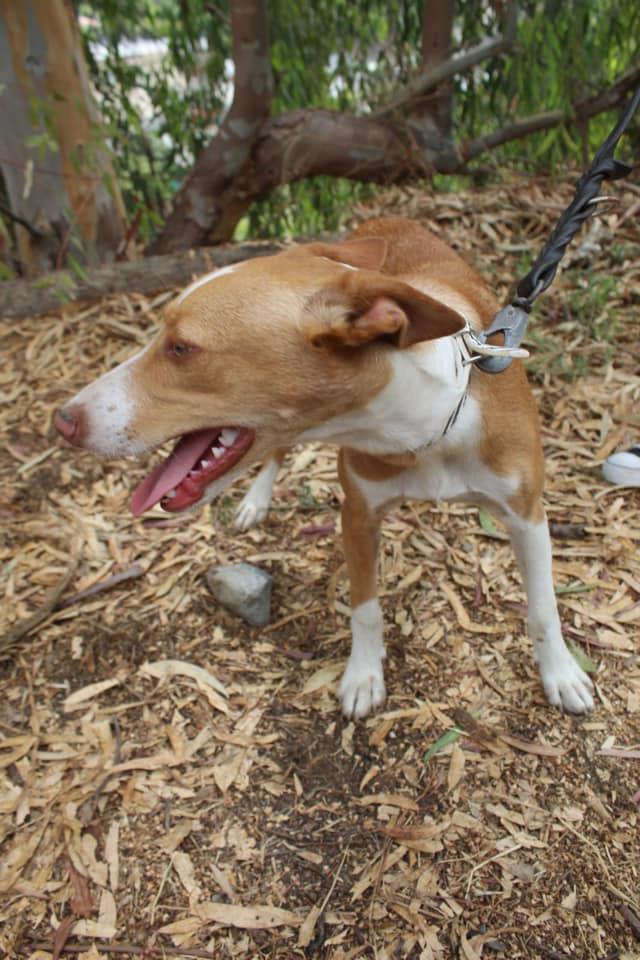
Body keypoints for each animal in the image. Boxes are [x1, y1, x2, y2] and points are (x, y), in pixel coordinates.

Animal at [53, 217, 594, 718]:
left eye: (182, 348)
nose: (63, 420)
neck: (426, 429)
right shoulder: (357, 514)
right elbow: (365, 609)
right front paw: (363, 675)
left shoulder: (527, 515)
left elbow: (543, 608)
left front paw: (561, 674)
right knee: (275, 454)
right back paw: (255, 502)